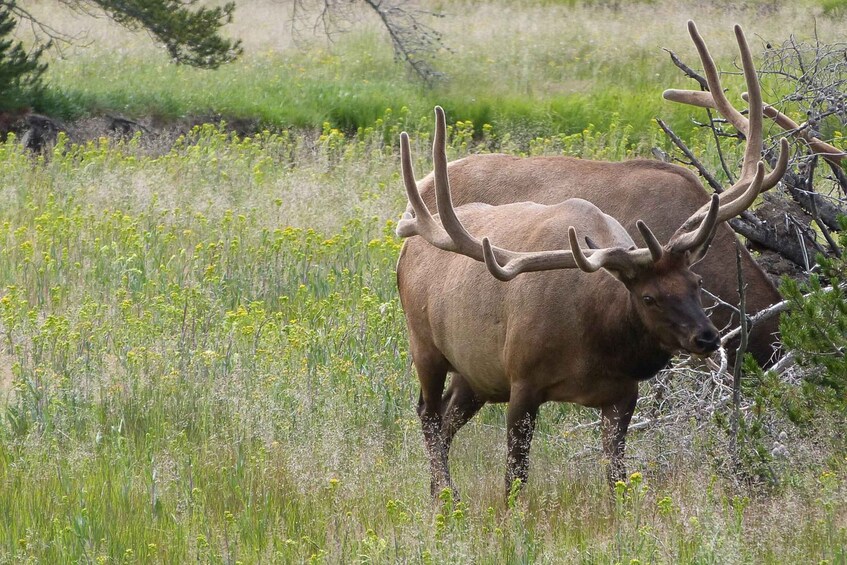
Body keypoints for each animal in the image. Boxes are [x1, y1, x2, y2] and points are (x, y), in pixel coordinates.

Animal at [394, 100, 784, 494]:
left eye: (697, 282)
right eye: (648, 297)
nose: (707, 338)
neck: (594, 340)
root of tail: (409, 242)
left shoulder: (622, 395)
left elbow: (617, 480)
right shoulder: (522, 382)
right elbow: (514, 479)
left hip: (475, 372)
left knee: (446, 417)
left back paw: (440, 491)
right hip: (425, 346)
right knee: (427, 414)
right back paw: (445, 494)